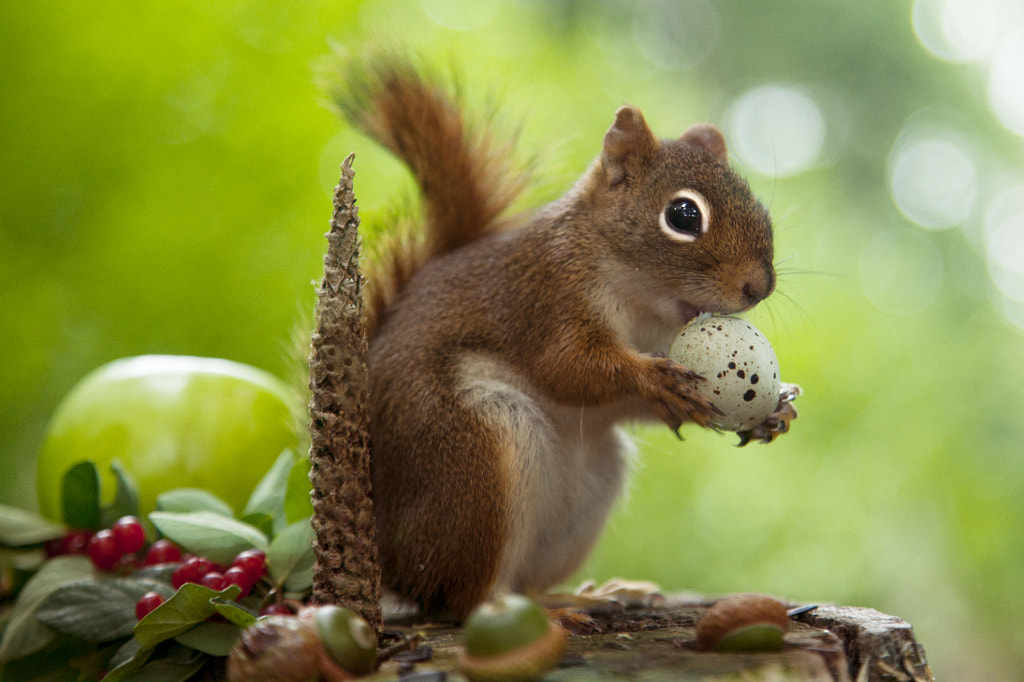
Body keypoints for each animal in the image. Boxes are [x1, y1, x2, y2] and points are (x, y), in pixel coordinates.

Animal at [331, 55, 794, 618]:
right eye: (683, 215)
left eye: (758, 205)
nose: (760, 286)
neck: (642, 302)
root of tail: (391, 559)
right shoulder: (547, 298)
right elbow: (569, 368)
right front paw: (654, 378)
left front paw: (776, 409)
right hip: (471, 453)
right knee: (464, 600)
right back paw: (544, 610)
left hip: (591, 483)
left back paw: (589, 594)